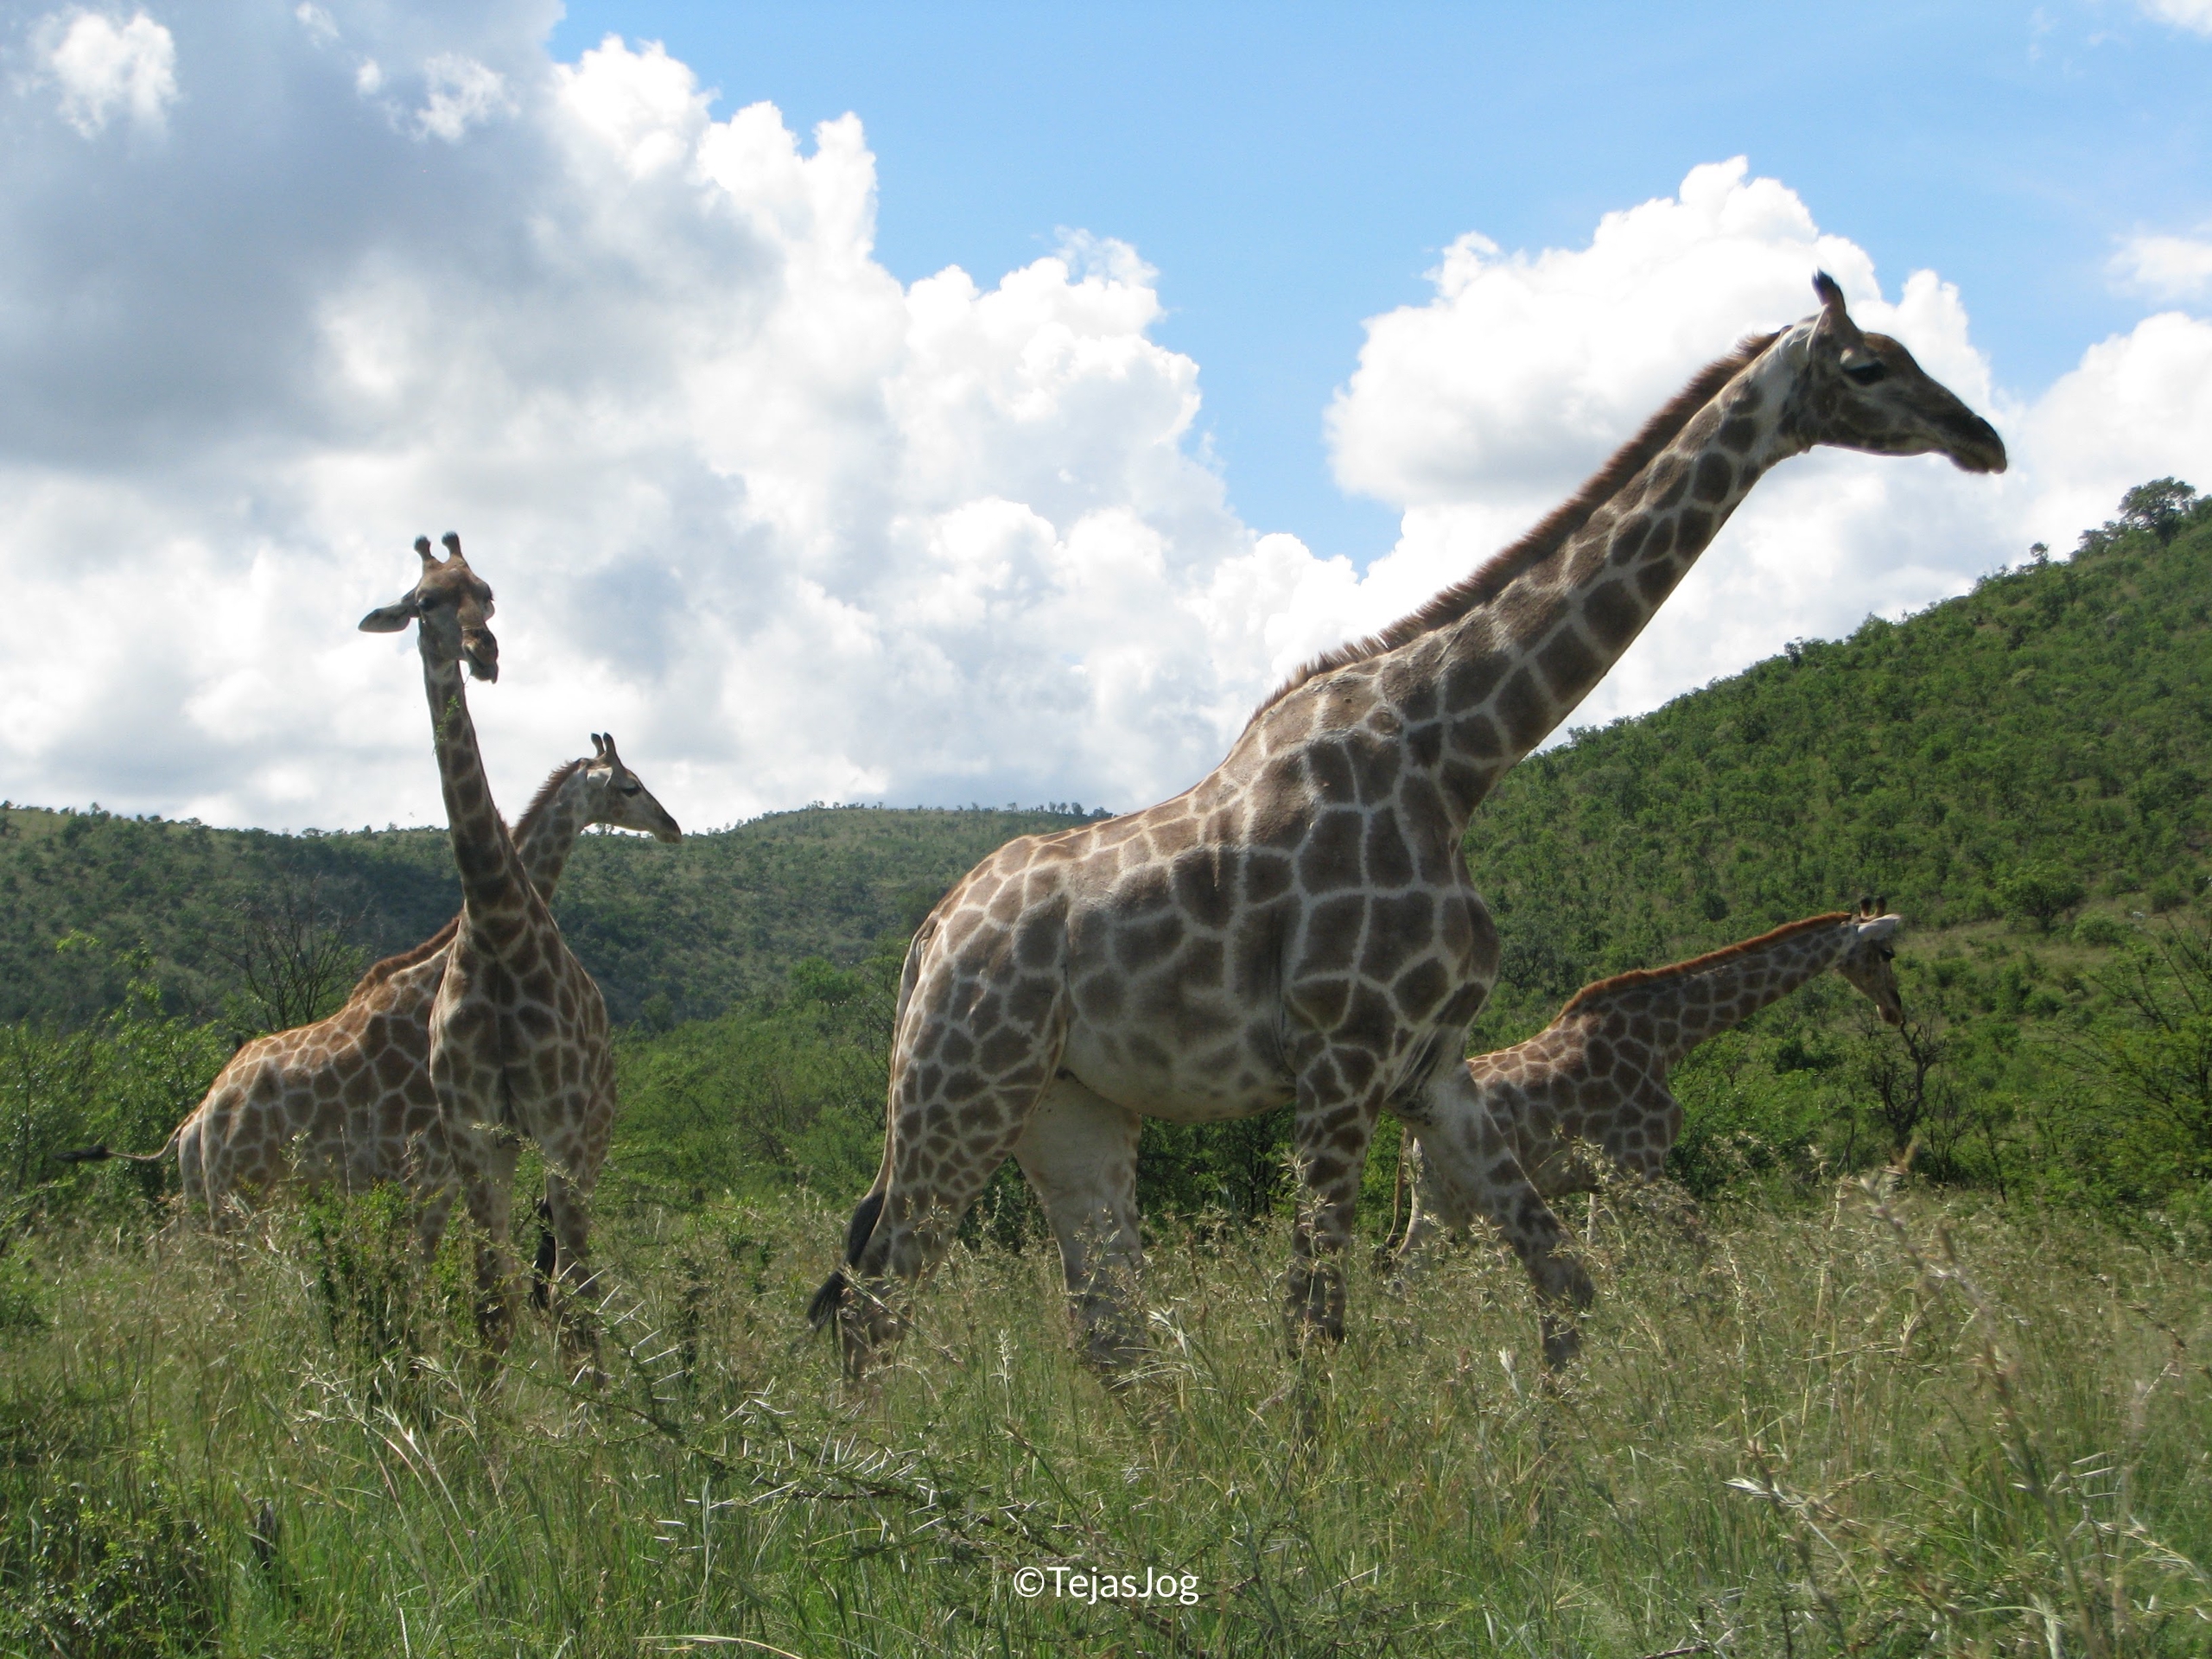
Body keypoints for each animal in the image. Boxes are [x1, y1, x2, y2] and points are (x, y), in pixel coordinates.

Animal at [66, 736, 680, 1255]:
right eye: (630, 785)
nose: (671, 824)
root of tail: (195, 1122)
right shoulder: (431, 1165)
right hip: (240, 1190)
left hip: (214, 1196)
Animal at [357, 534, 628, 1357]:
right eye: (425, 602)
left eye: (488, 591)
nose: (484, 651)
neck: (498, 922)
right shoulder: (475, 1133)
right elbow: (488, 1302)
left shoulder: (561, 1123)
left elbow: (570, 1290)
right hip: (515, 1147)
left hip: (587, 1136)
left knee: (576, 1278)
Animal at [1395, 904, 1903, 1261]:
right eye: (1886, 952)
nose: (1893, 1009)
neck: (1667, 1036)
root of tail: (1409, 1134)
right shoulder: (1641, 1166)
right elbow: (1700, 1241)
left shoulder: (1607, 1180)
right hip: (1474, 1197)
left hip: (1435, 1202)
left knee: (1407, 1268)